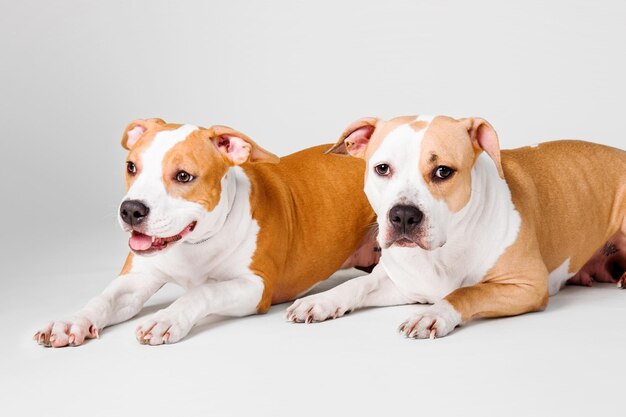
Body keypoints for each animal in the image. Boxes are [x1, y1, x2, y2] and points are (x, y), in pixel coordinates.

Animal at [33, 118, 376, 348]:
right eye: (131, 167)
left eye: (184, 176)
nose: (131, 210)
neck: (195, 243)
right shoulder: (136, 279)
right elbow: (102, 299)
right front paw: (70, 322)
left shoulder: (255, 286)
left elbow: (203, 291)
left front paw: (166, 318)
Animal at [286, 114, 624, 338]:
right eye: (382, 168)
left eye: (443, 171)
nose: (403, 215)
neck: (442, 252)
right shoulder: (401, 282)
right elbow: (358, 284)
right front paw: (321, 301)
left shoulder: (526, 285)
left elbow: (466, 292)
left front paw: (433, 314)